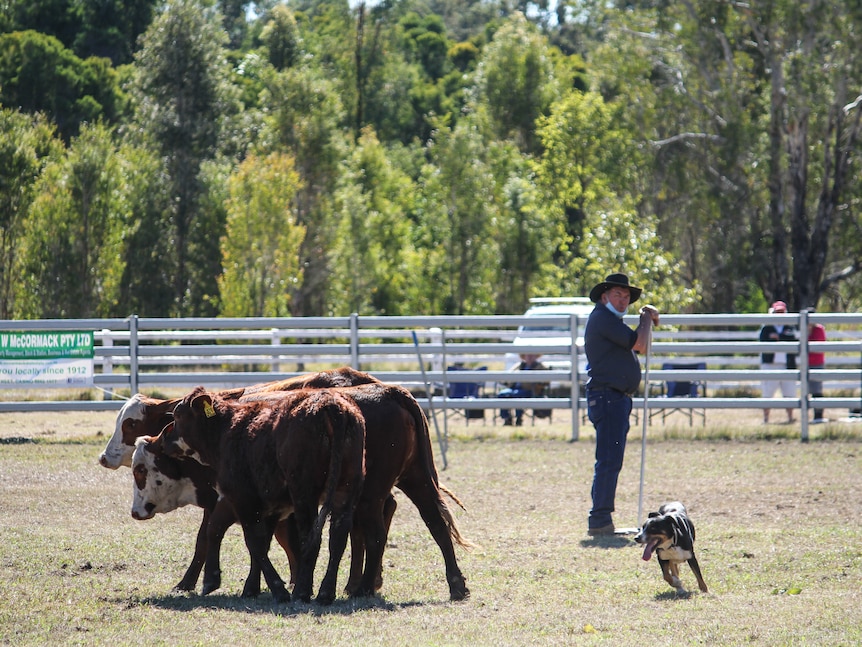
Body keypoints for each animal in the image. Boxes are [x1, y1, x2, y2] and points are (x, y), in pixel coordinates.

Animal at [161, 388, 364, 604]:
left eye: (178, 415)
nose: (163, 437)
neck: (226, 431)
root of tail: (329, 403)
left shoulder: (241, 498)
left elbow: (253, 542)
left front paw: (276, 589)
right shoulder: (271, 507)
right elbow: (260, 543)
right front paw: (250, 587)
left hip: (304, 493)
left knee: (311, 538)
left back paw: (302, 591)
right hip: (346, 489)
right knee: (338, 537)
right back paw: (325, 593)